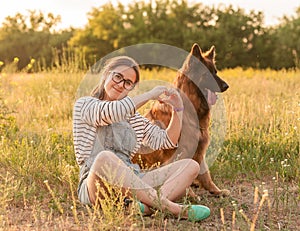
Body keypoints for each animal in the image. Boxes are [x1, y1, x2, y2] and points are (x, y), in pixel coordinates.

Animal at [132, 43, 229, 195]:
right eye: (207, 73)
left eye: (216, 72)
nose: (226, 86)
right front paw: (190, 195)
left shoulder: (199, 147)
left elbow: (205, 173)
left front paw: (216, 191)